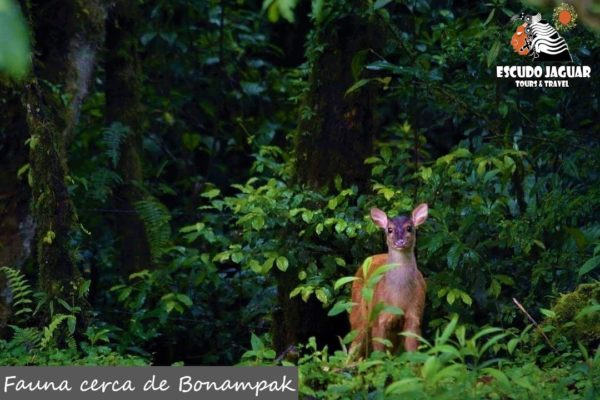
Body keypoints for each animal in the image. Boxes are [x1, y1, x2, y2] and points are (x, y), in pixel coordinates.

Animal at [350, 203, 428, 356]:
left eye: (409, 228)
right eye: (389, 229)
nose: (400, 241)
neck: (398, 299)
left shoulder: (414, 315)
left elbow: (413, 354)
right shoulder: (378, 318)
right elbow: (379, 355)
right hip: (358, 315)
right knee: (353, 347)